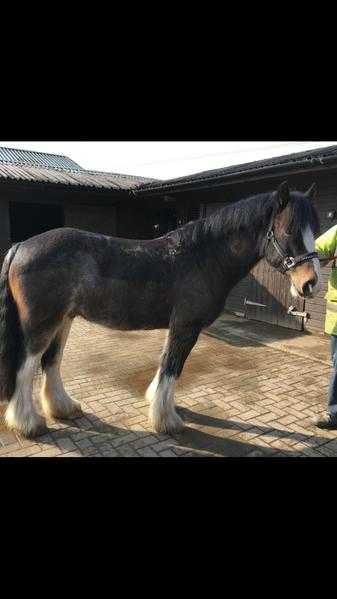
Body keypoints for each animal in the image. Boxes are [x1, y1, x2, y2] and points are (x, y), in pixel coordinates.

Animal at [0, 180, 320, 438]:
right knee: (26, 367)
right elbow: (172, 367)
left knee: (51, 362)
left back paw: (63, 408)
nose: (310, 283)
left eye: (315, 230)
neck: (202, 257)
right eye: (288, 230)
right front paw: (166, 420)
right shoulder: (185, 327)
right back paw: (28, 424)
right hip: (41, 324)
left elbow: (166, 366)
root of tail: (21, 246)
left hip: (63, 320)